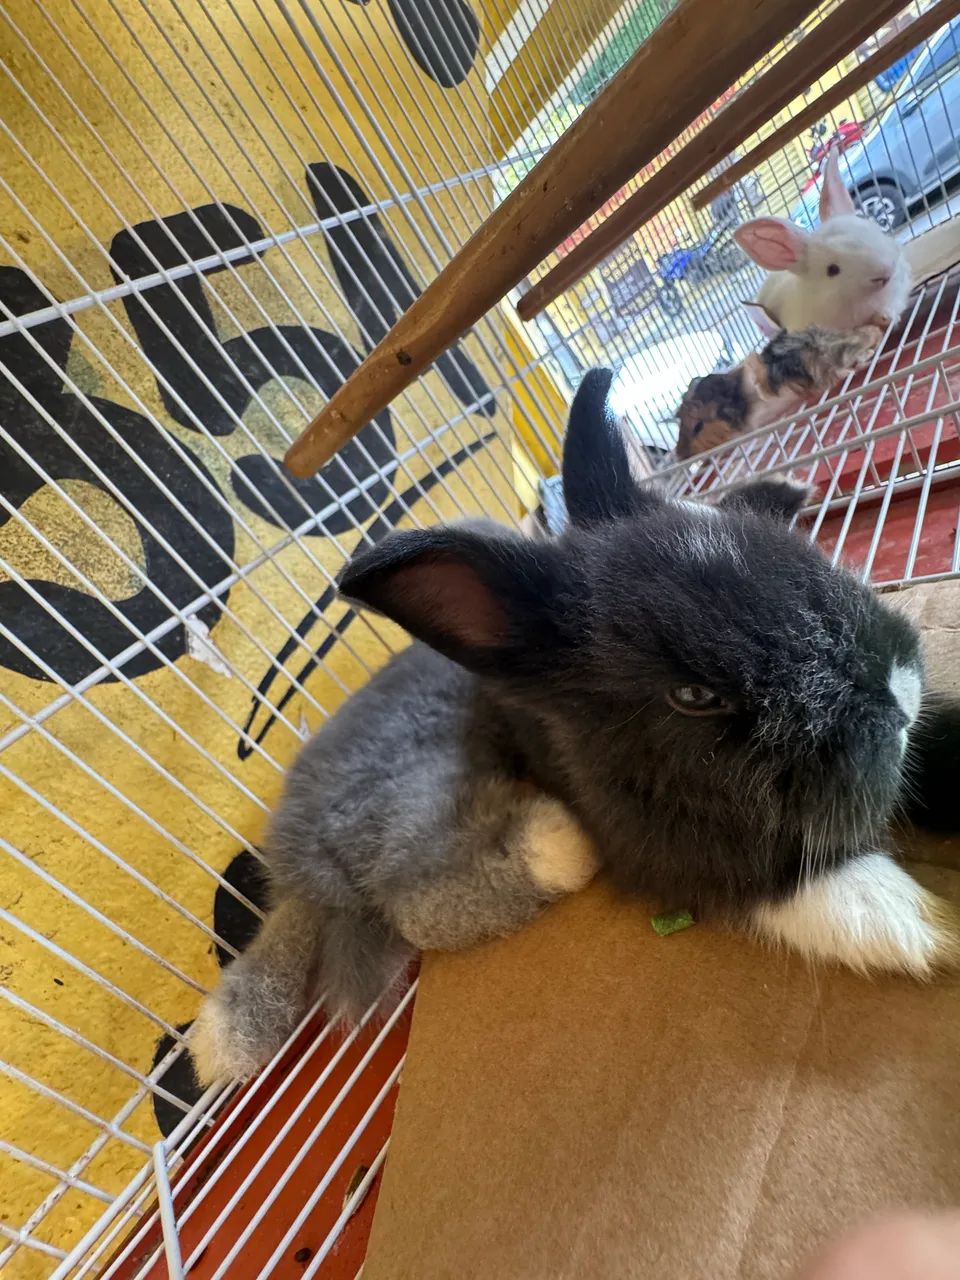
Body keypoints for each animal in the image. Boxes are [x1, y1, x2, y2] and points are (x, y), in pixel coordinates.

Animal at [191, 368, 960, 1084]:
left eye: (796, 561)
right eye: (693, 695)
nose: (895, 699)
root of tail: (294, 860)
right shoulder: (657, 847)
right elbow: (766, 880)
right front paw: (919, 924)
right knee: (418, 898)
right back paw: (547, 837)